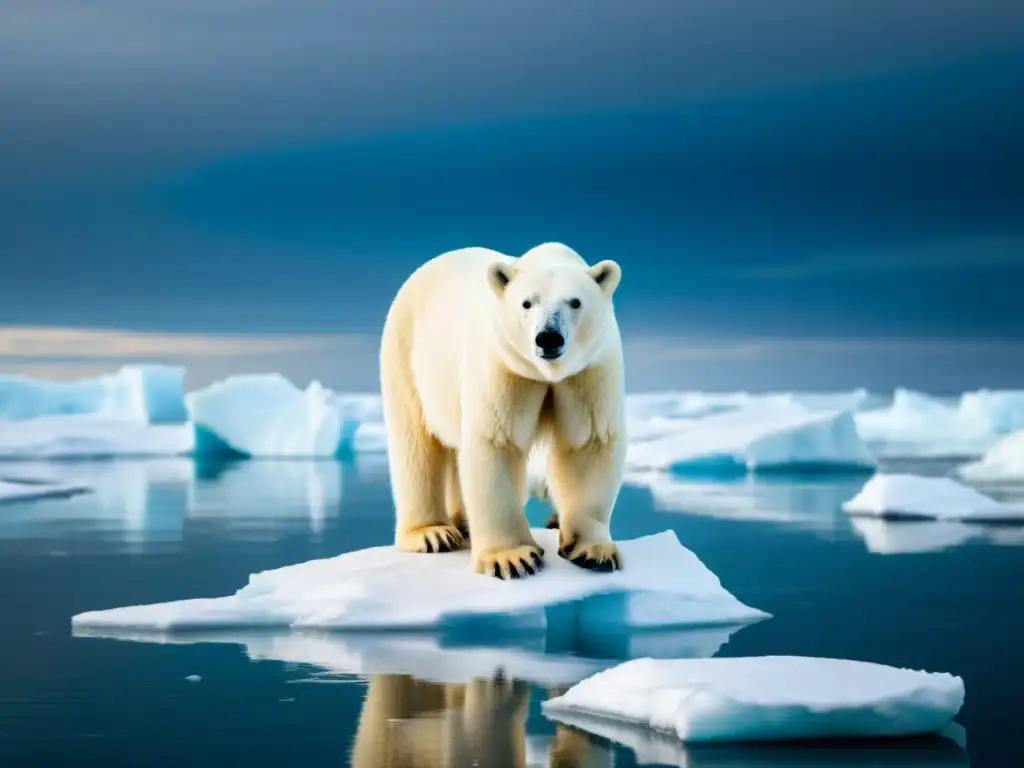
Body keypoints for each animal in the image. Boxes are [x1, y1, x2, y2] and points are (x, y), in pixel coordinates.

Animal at [382, 243, 626, 581]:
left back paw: (463, 523)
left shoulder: (588, 371)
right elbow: (497, 441)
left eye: (575, 302)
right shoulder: (504, 365)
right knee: (416, 443)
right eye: (527, 303)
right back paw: (432, 533)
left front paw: (593, 552)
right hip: (407, 355)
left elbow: (589, 442)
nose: (548, 337)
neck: (546, 373)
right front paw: (513, 558)